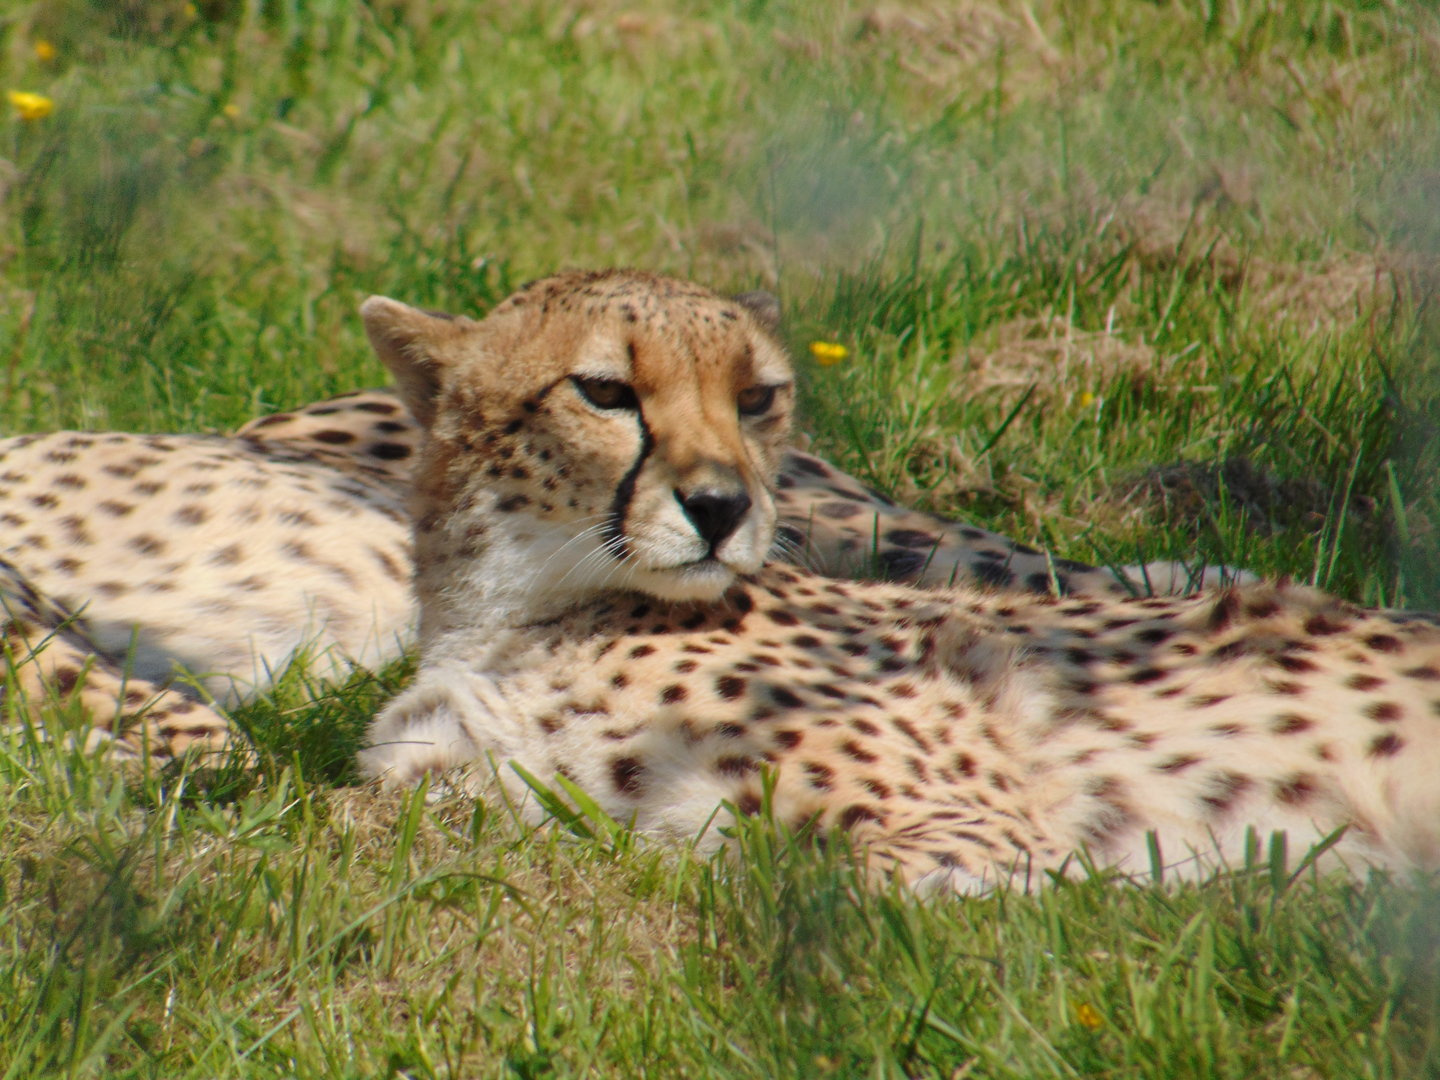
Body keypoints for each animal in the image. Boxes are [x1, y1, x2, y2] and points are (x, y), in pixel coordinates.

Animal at [357, 268, 1440, 893]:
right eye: (605, 392)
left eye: (757, 398)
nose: (722, 508)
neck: (519, 609)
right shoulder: (450, 778)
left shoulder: (971, 831)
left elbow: (835, 887)